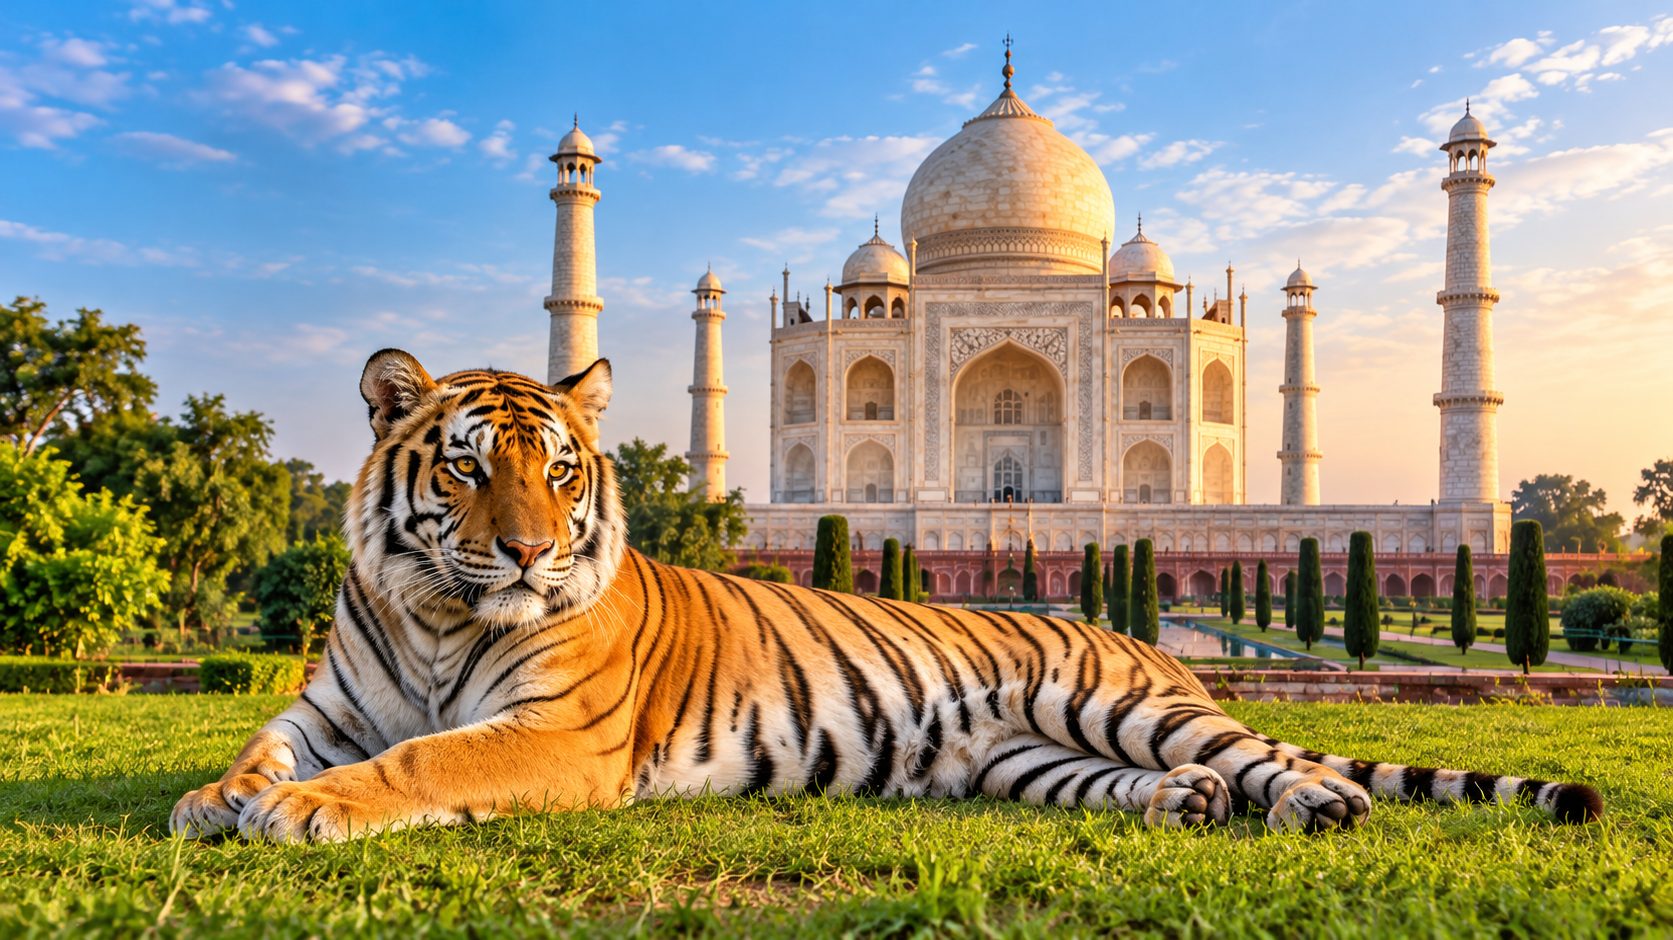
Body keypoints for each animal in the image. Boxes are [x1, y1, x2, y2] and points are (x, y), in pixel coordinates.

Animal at [170, 349, 1603, 843]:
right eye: (465, 466)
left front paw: (304, 809)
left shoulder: (565, 732)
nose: (526, 552)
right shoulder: (331, 703)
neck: (434, 618)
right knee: (1159, 782)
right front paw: (226, 792)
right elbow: (260, 747)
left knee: (1276, 759)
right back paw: (1181, 803)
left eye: (559, 469)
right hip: (1019, 758)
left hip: (1131, 699)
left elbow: (419, 765)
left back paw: (1310, 798)